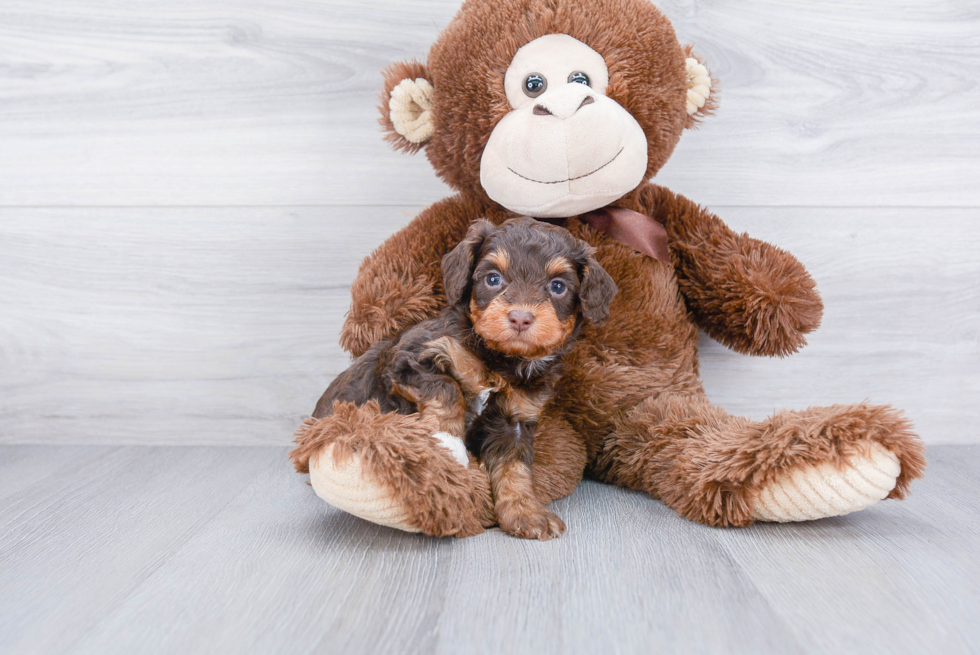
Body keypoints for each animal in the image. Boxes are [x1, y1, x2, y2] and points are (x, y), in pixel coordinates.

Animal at [314, 218, 616, 540]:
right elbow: (449, 391)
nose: (520, 318)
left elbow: (515, 467)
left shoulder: (516, 416)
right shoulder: (406, 359)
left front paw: (525, 512)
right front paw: (448, 447)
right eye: (493, 279)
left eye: (558, 286)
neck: (501, 359)